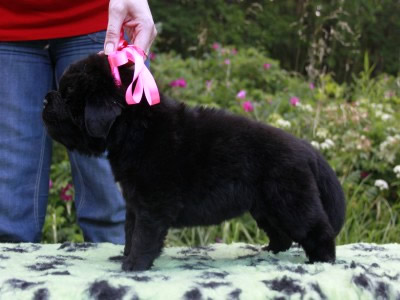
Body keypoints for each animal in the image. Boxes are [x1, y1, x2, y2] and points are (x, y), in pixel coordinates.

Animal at [42, 54, 346, 272]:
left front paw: (133, 265)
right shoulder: (134, 202)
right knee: (282, 234)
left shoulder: (153, 203)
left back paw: (322, 261)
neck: (135, 130)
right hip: (265, 206)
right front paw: (125, 256)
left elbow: (144, 235)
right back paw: (268, 251)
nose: (45, 99)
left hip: (290, 199)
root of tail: (306, 148)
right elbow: (130, 231)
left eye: (68, 96)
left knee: (317, 229)